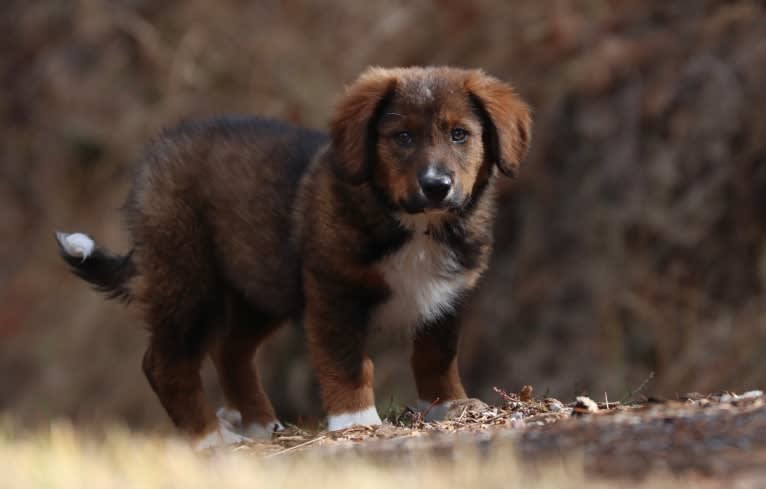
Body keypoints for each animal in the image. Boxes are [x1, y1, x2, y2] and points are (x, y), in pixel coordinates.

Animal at [57, 66, 532, 448]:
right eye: (403, 137)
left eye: (459, 134)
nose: (437, 186)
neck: (416, 226)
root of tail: (155, 157)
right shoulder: (333, 288)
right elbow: (347, 360)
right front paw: (355, 421)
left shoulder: (448, 294)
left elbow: (437, 356)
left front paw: (450, 406)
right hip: (186, 276)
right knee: (166, 363)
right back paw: (210, 437)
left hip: (260, 284)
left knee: (230, 351)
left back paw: (259, 425)